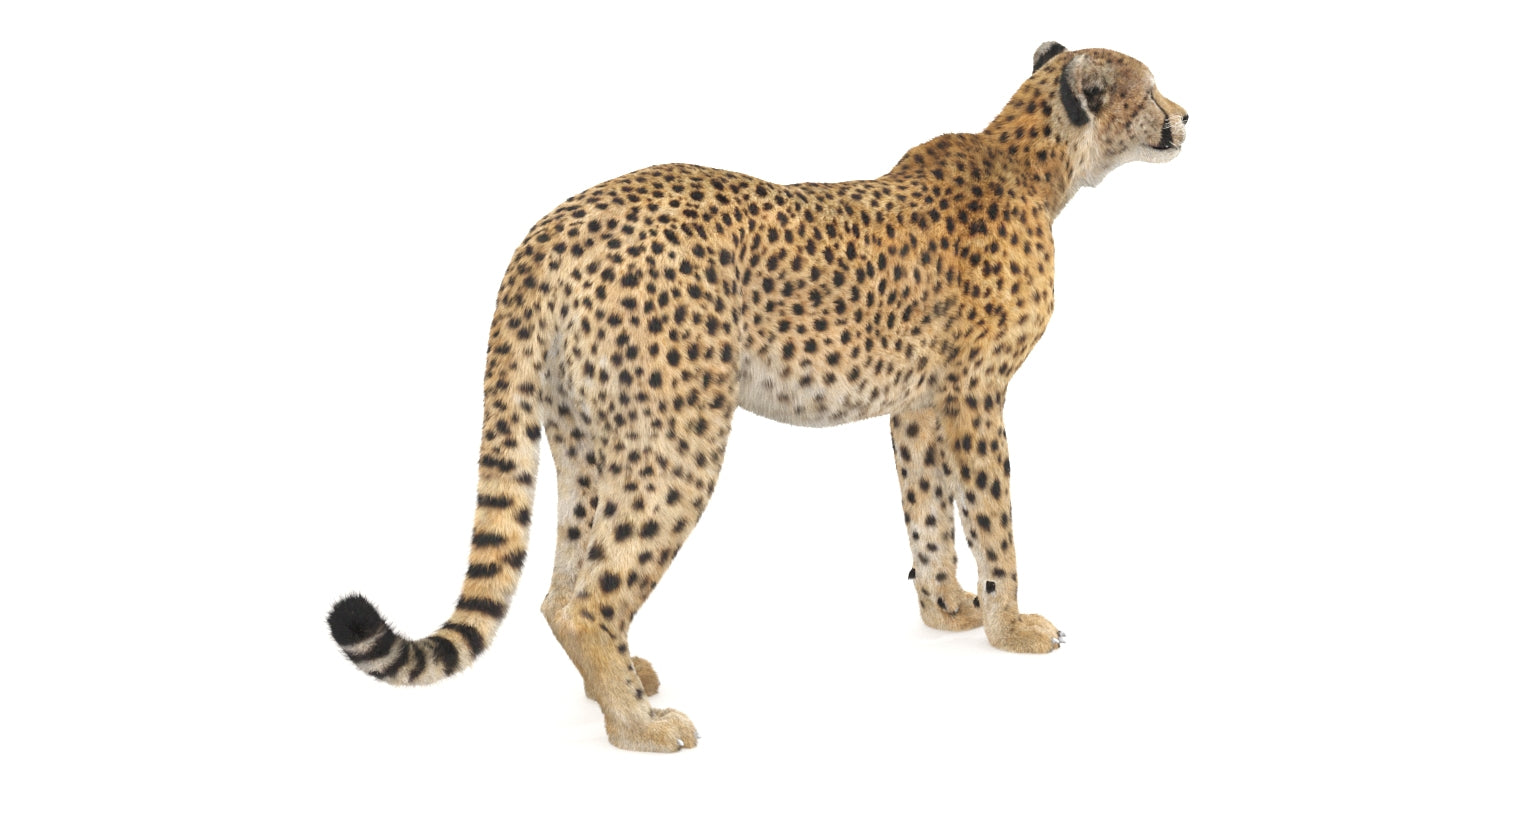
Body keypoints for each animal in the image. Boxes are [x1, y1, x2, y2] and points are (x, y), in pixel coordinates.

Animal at [327, 41, 1189, 752]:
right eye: (1149, 91)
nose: (1185, 116)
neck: (1035, 164)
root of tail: (552, 226)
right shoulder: (975, 394)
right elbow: (992, 518)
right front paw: (1012, 626)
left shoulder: (918, 405)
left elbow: (927, 511)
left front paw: (947, 610)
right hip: (679, 435)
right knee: (589, 595)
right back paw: (638, 726)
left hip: (586, 434)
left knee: (561, 584)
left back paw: (622, 683)